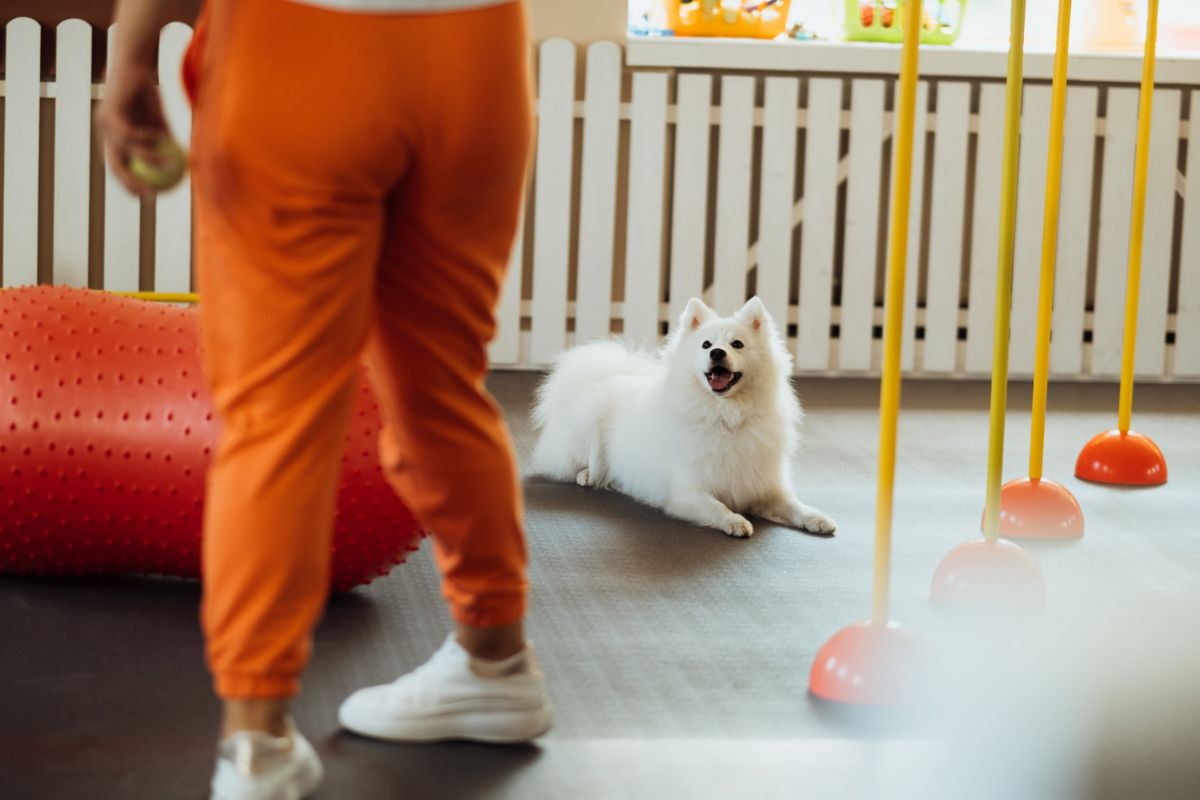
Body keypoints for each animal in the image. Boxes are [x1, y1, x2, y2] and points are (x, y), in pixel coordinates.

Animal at [535, 297, 835, 542]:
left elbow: (794, 505)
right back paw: (587, 475)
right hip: (588, 426)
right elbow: (717, 506)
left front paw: (816, 518)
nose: (717, 352)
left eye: (737, 344)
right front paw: (735, 520)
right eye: (706, 344)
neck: (726, 415)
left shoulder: (764, 487)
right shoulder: (687, 494)